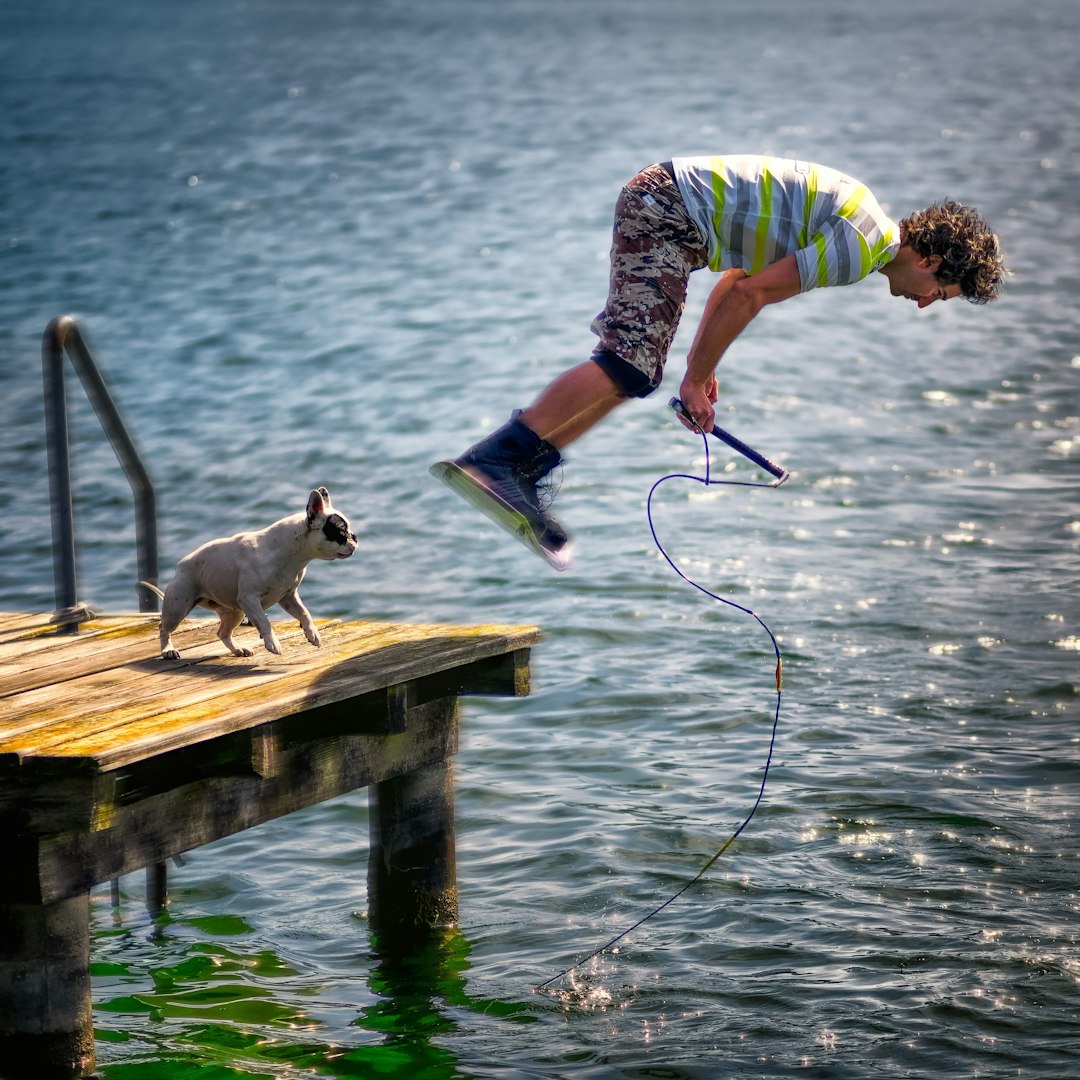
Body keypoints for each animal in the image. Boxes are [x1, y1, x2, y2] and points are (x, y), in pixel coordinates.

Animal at [157, 488, 358, 656]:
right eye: (341, 532)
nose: (355, 538)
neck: (290, 554)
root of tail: (181, 564)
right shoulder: (249, 598)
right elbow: (264, 621)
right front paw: (272, 643)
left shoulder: (288, 596)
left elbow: (304, 613)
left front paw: (312, 633)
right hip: (178, 607)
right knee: (163, 627)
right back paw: (168, 650)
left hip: (234, 612)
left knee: (223, 633)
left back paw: (238, 650)